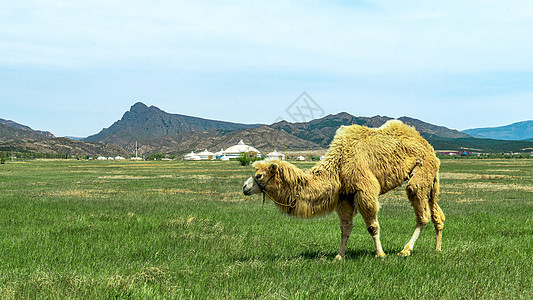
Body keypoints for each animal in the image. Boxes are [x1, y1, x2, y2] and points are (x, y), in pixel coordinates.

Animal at [242, 119, 444, 258]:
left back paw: (405, 250)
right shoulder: (345, 195)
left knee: (421, 210)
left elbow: (372, 226)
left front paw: (380, 254)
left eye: (259, 176)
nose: (245, 187)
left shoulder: (365, 189)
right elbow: (345, 228)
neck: (337, 166)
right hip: (431, 179)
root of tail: (428, 145)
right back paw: (437, 248)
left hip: (422, 171)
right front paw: (339, 256)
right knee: (437, 213)